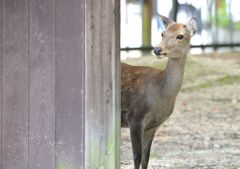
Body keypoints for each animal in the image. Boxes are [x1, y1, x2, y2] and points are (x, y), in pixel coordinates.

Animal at [121, 15, 198, 168]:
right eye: (163, 33)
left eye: (180, 36)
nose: (157, 49)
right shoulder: (135, 117)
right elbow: (137, 157)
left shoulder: (153, 125)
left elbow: (146, 158)